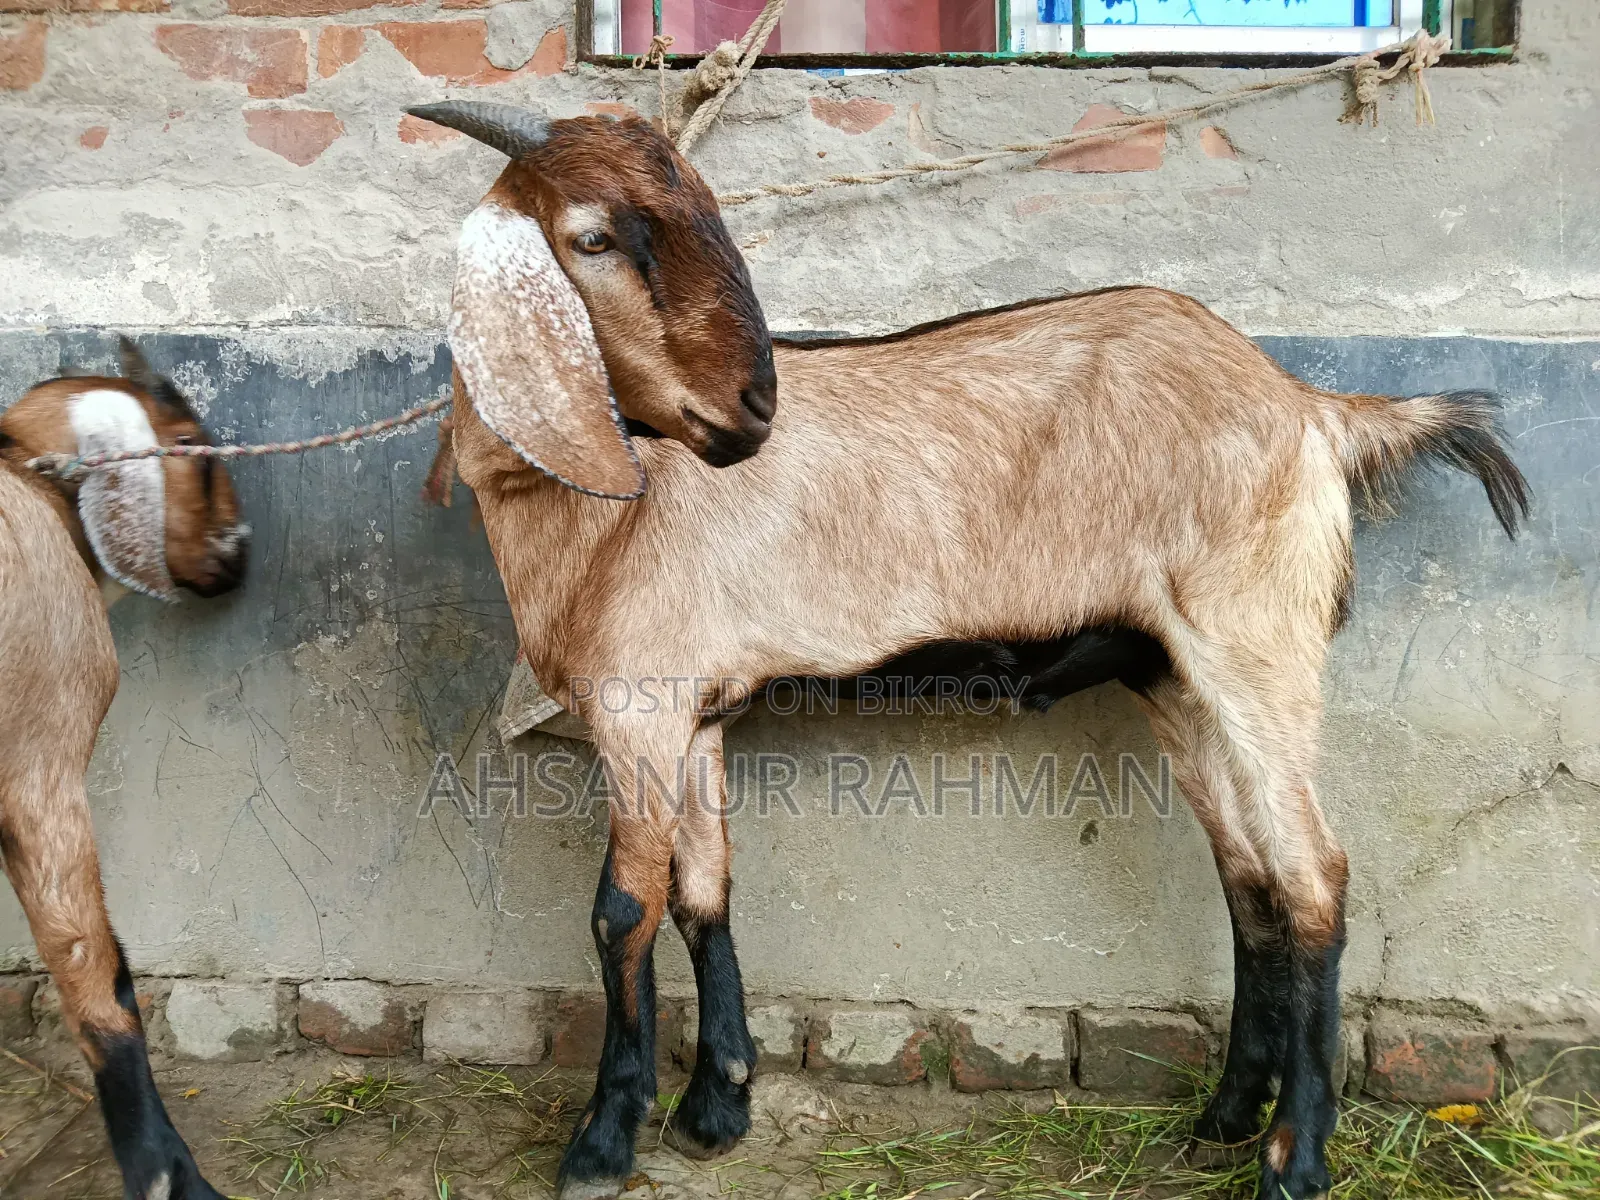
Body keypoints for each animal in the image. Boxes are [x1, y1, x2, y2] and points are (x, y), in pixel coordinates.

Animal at [408, 102, 1529, 1200]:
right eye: (593, 237)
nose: (754, 408)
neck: (604, 508)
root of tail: (1314, 407)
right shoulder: (696, 714)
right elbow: (703, 896)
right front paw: (716, 1108)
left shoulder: (639, 709)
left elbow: (622, 911)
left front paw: (603, 1144)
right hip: (1172, 671)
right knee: (1248, 876)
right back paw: (1219, 1121)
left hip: (1254, 641)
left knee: (1312, 876)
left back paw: (1293, 1161)